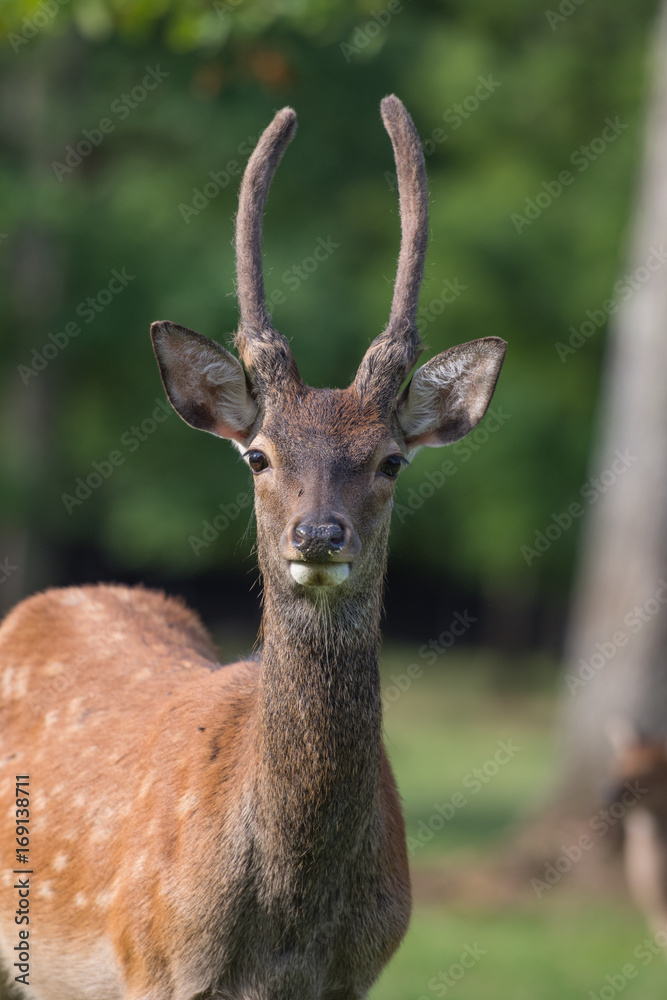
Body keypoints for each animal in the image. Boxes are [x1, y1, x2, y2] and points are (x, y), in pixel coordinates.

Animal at [0, 96, 506, 1000]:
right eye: (258, 456)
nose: (318, 533)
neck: (286, 928)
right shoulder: (150, 961)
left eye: (391, 459)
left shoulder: (357, 973)